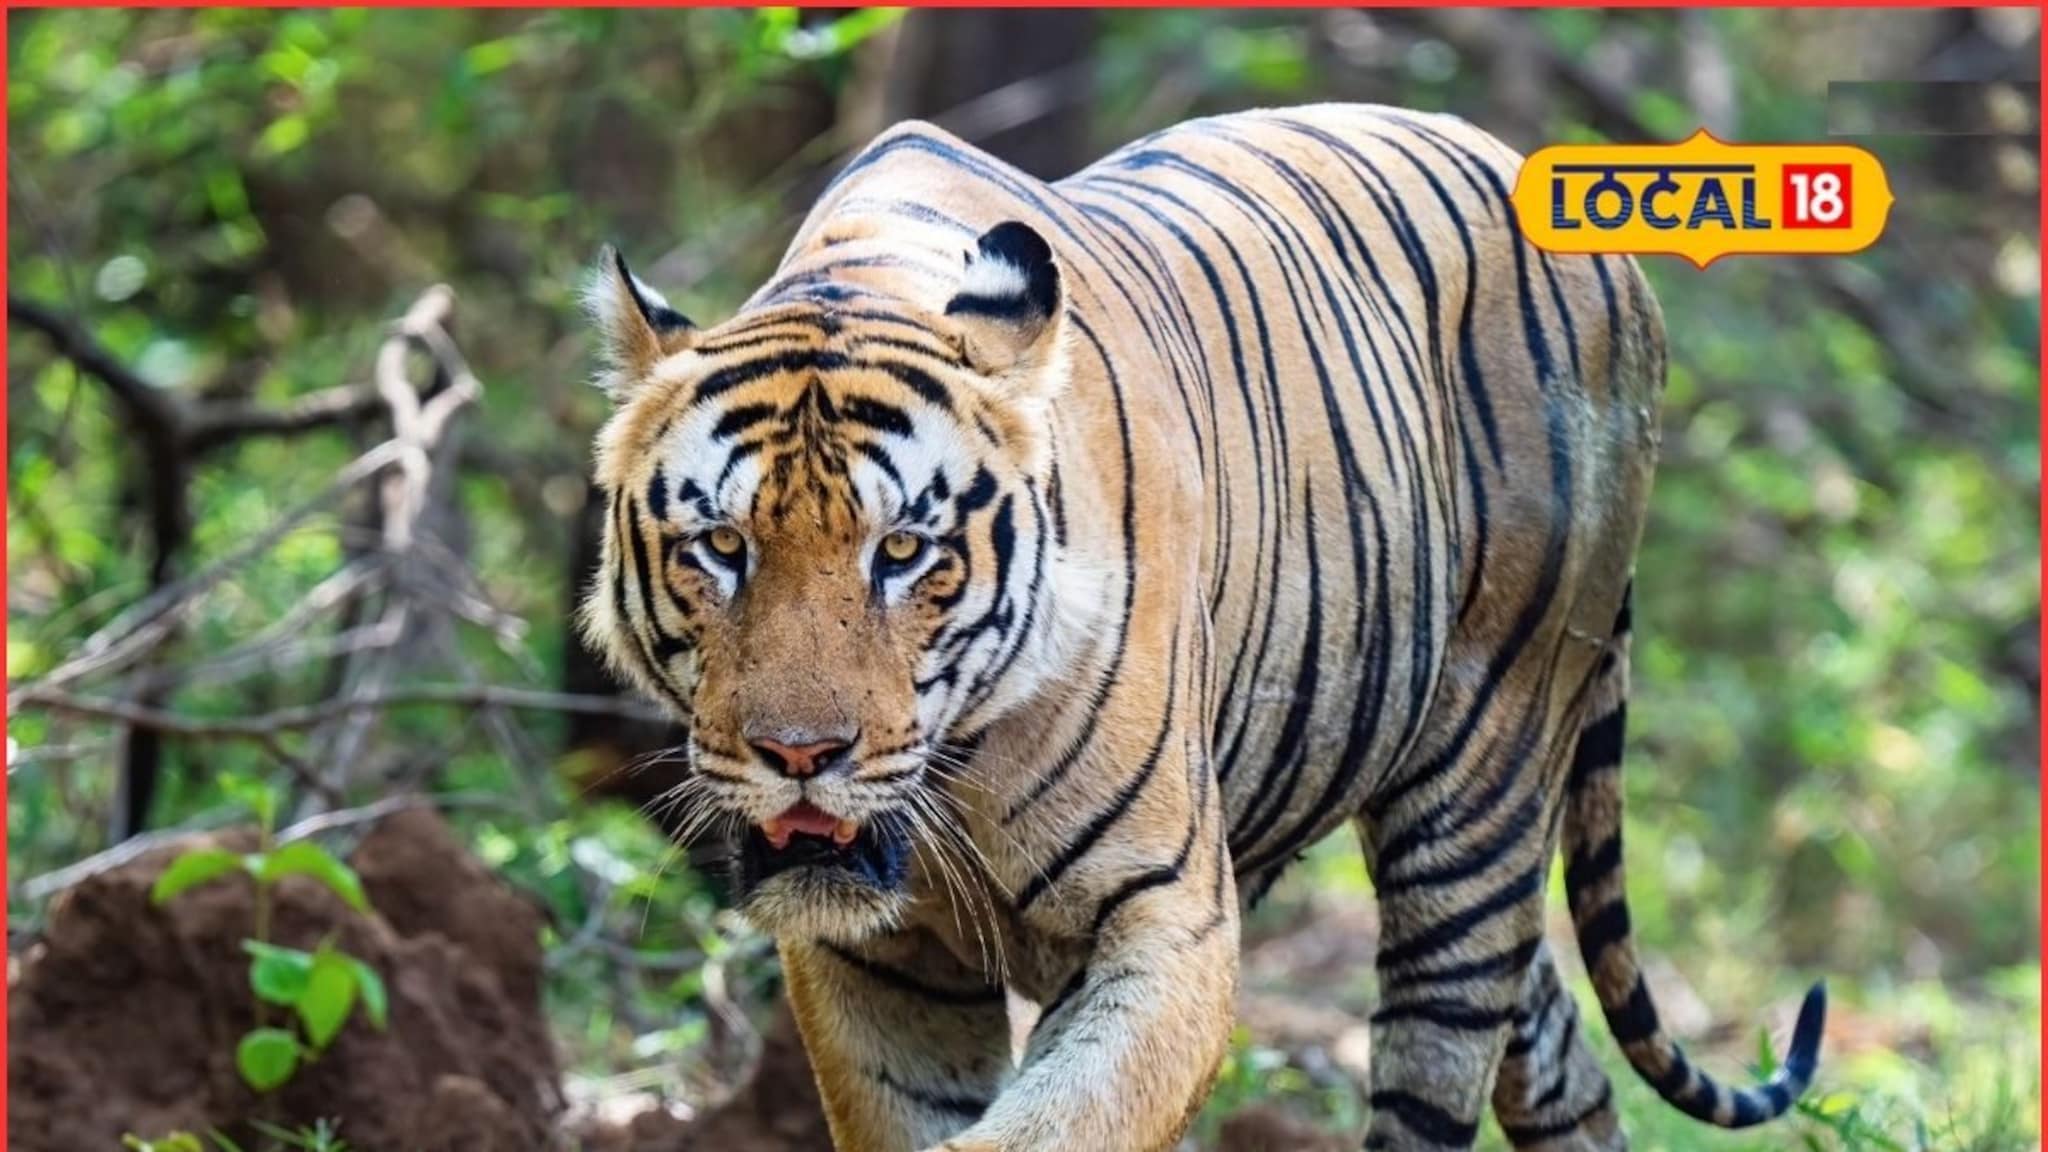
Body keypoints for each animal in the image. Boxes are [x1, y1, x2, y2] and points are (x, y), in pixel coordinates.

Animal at [579, 103, 1826, 1152]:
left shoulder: (1167, 922)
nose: (798, 756)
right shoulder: (879, 964)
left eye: (901, 552)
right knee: (1562, 1063)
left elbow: (1053, 1128)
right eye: (722, 547)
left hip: (1481, 788)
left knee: (1440, 1052)